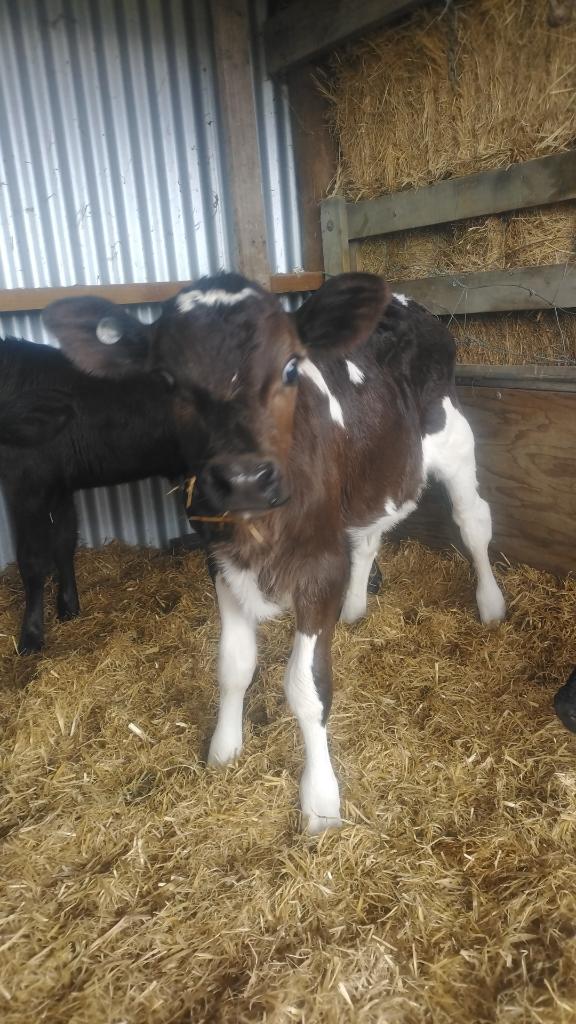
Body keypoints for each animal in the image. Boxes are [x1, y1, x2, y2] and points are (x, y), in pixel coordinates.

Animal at [44, 272, 506, 832]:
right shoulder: (220, 563)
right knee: (370, 534)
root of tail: (403, 300)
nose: (244, 478)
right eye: (167, 380)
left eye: (290, 367)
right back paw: (355, 608)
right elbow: (233, 664)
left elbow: (305, 687)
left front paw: (321, 800)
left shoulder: (319, 568)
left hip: (453, 435)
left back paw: (490, 603)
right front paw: (224, 748)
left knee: (473, 521)